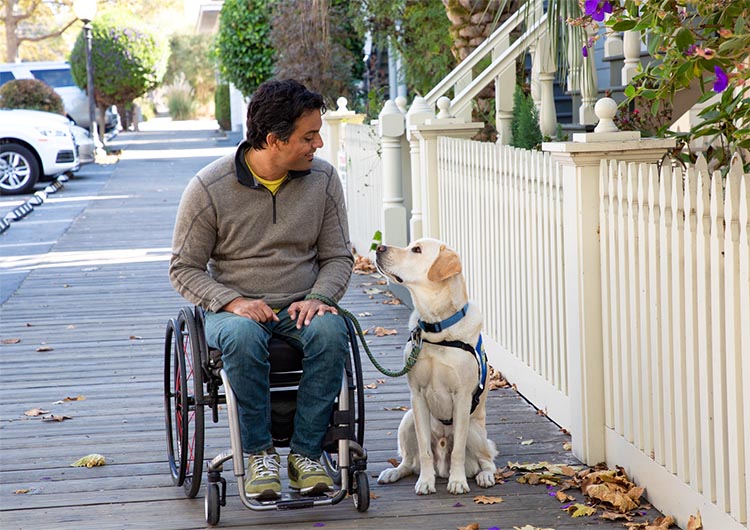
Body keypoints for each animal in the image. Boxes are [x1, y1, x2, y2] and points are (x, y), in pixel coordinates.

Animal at [376, 237, 500, 492]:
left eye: (417, 250)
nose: (379, 248)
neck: (436, 328)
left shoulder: (462, 398)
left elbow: (458, 452)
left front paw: (458, 481)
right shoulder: (417, 396)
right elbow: (424, 451)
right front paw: (425, 482)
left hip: (474, 431)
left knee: (487, 460)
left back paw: (484, 476)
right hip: (407, 420)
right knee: (409, 462)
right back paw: (394, 472)